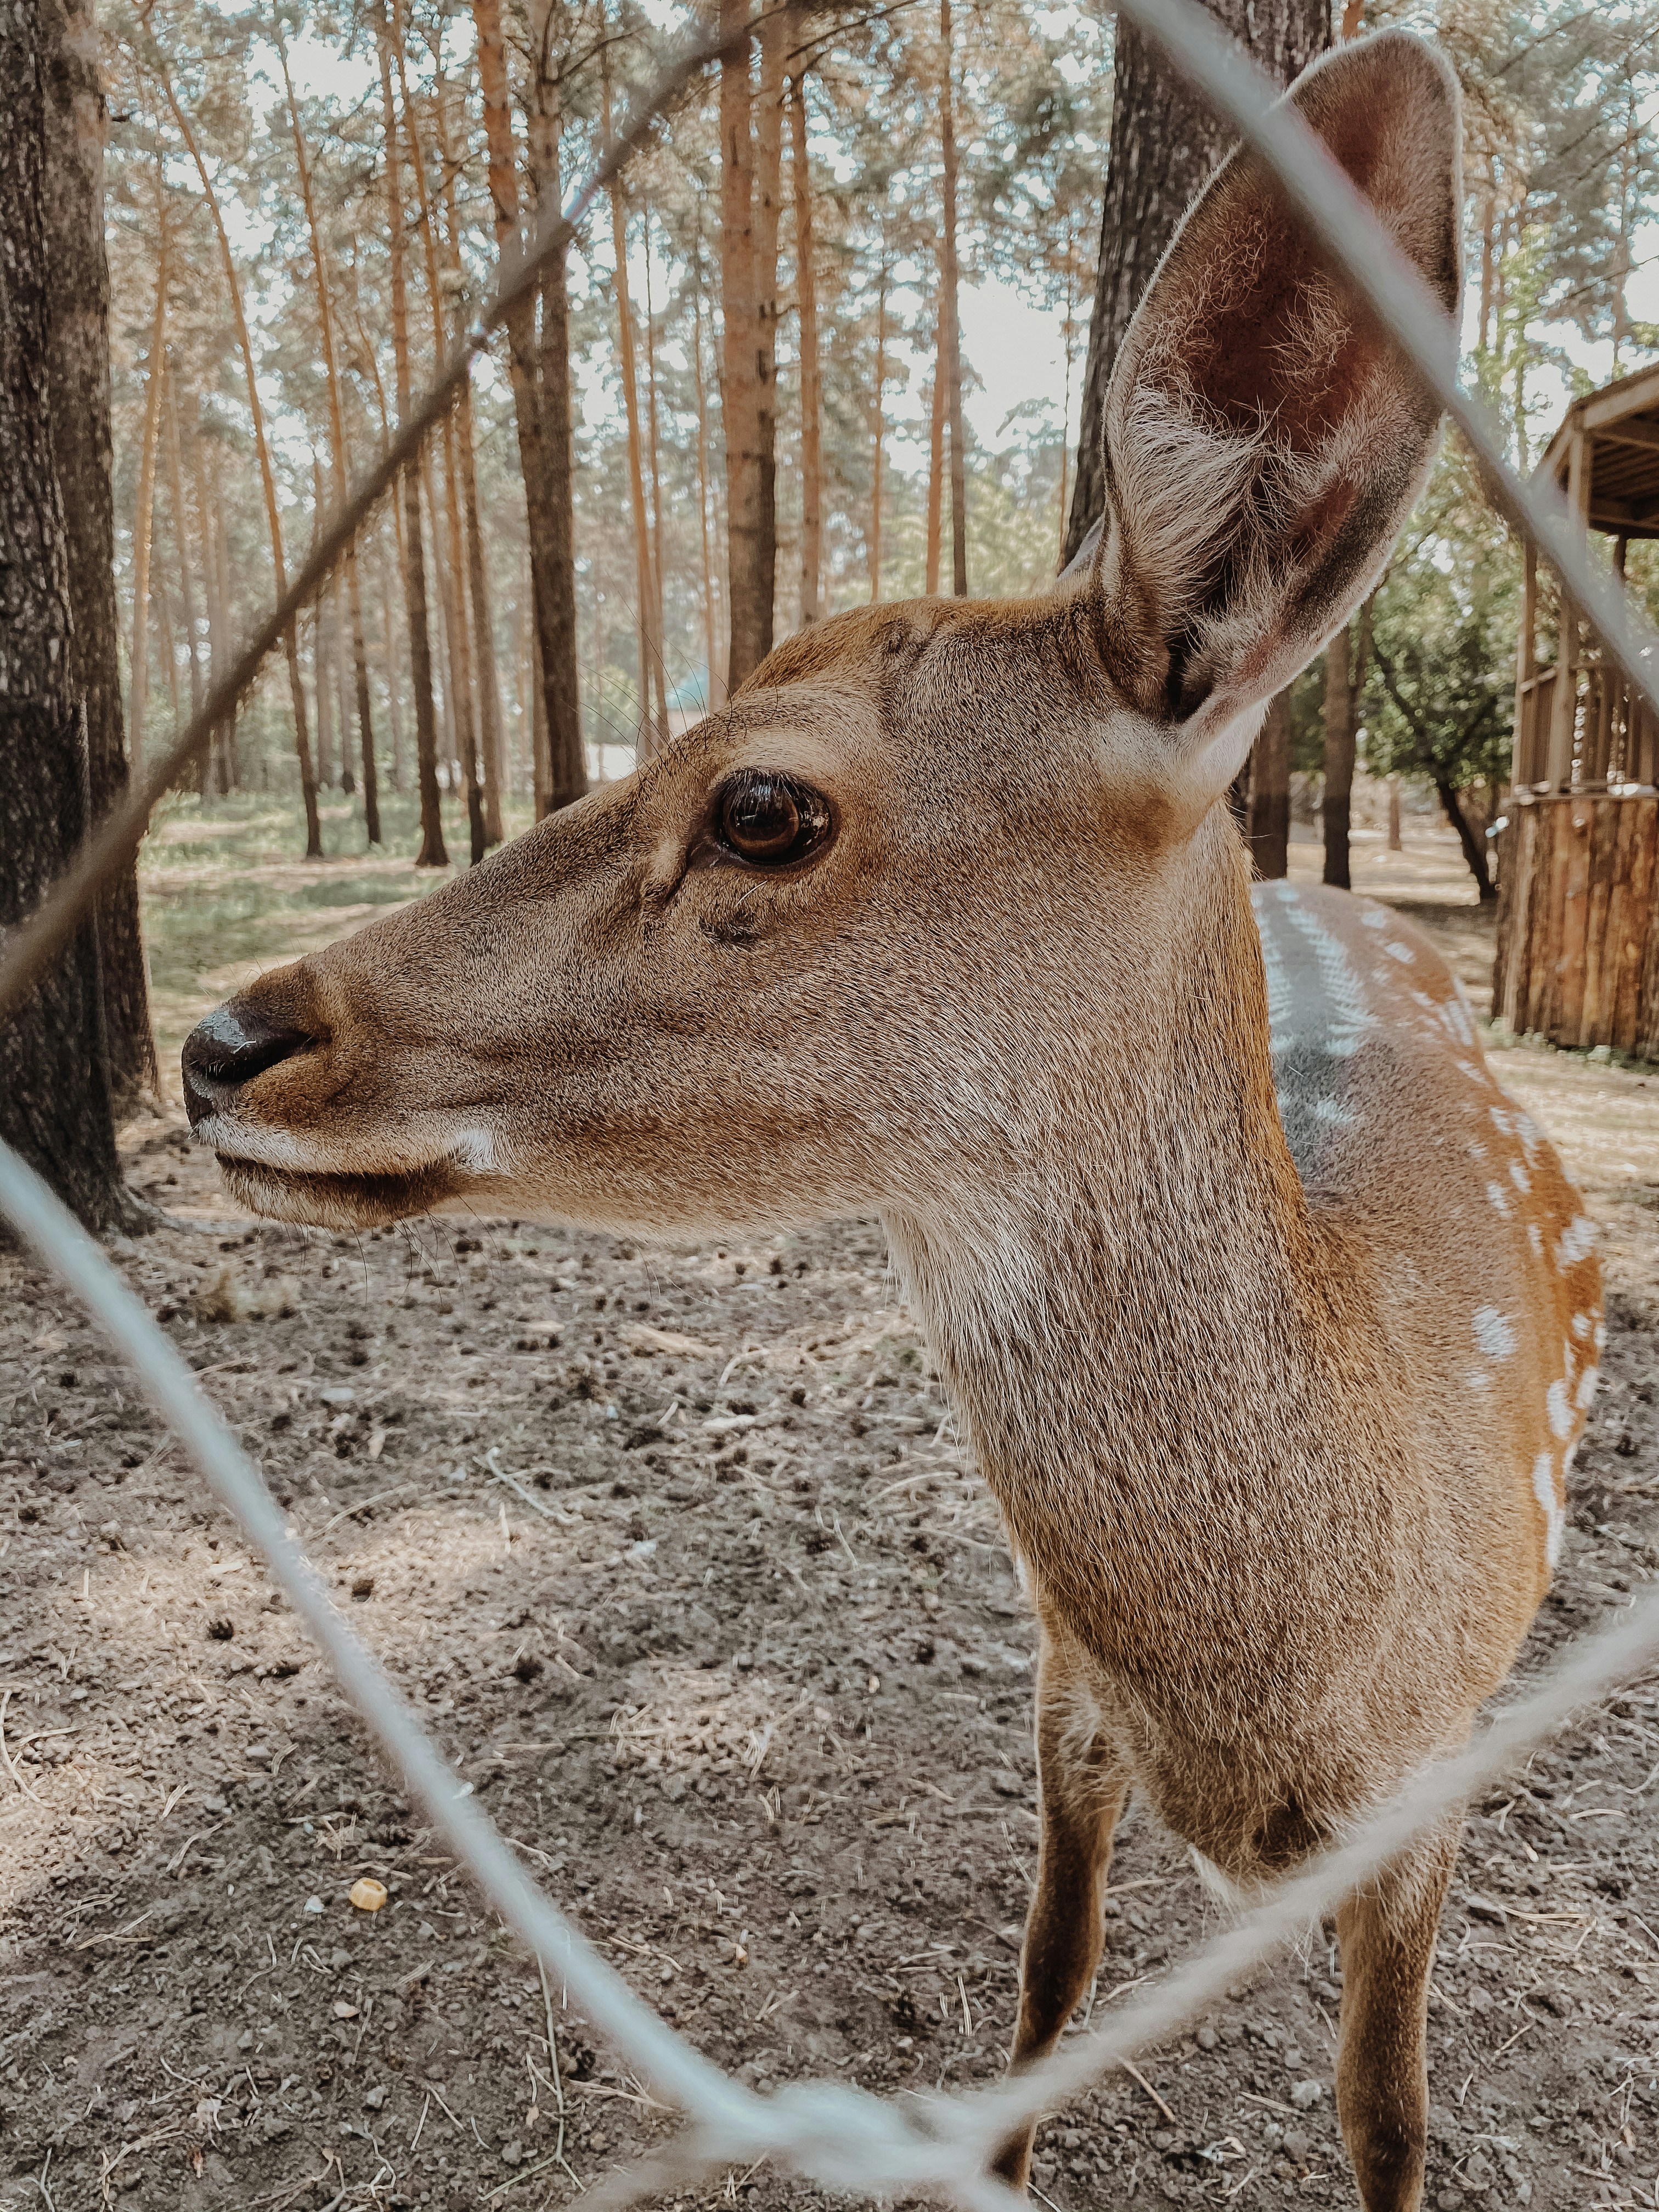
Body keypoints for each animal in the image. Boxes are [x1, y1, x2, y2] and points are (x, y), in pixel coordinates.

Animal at [178, 33, 1601, 2211]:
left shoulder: (1440, 1773)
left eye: (764, 805)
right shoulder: (1061, 1677)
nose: (225, 1038)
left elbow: (1387, 2116)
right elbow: (1041, 1973)